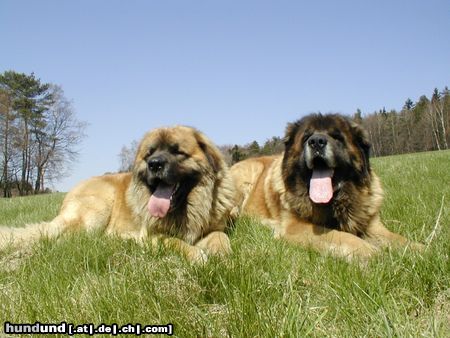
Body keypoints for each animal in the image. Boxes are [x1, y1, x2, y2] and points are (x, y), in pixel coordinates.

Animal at [1, 126, 236, 262]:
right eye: (149, 154)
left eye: (177, 151)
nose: (154, 164)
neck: (189, 206)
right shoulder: (152, 236)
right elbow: (174, 242)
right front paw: (197, 255)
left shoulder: (213, 228)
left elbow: (220, 237)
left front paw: (222, 254)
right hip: (96, 211)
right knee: (60, 239)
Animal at [232, 115, 422, 260]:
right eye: (306, 137)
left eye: (337, 137)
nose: (316, 141)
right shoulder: (296, 227)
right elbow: (344, 237)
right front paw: (373, 254)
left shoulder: (373, 226)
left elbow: (399, 239)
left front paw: (422, 251)